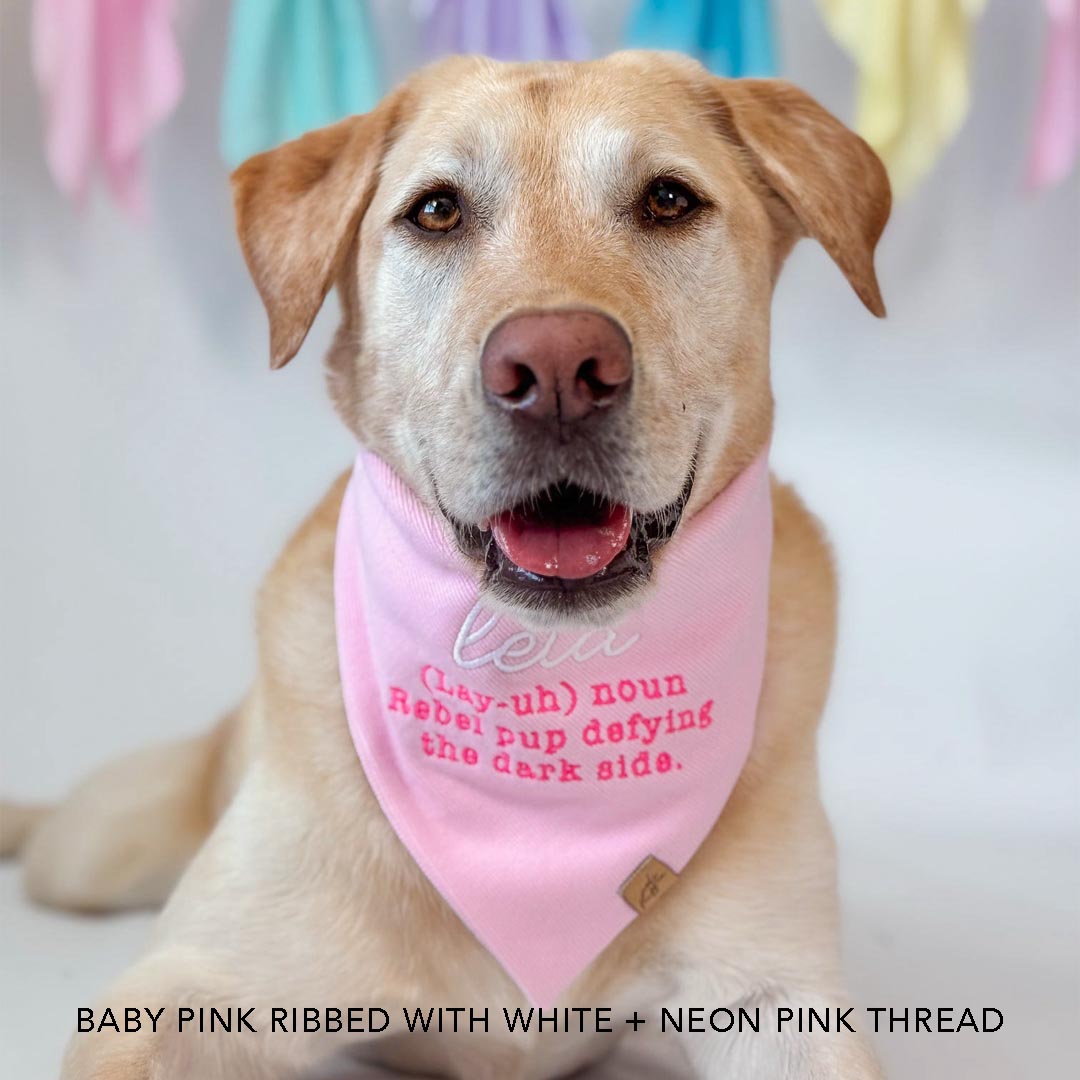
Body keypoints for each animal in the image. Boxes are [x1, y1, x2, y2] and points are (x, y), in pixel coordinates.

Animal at [4, 52, 891, 1079]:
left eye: (669, 199)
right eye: (436, 211)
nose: (558, 369)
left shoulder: (781, 996)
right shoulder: (182, 990)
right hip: (95, 850)